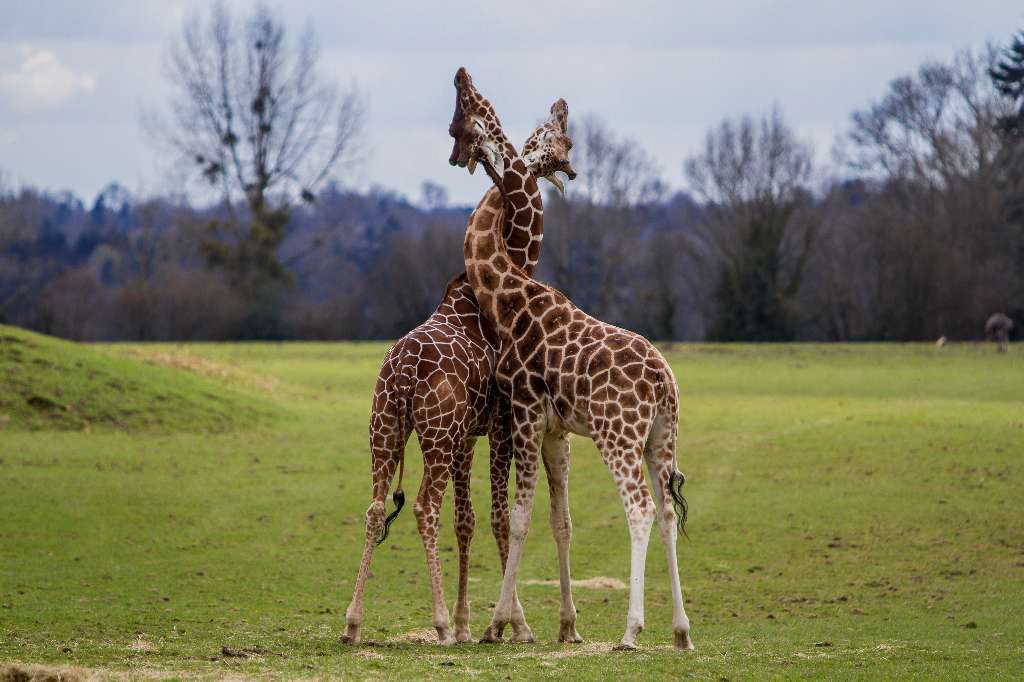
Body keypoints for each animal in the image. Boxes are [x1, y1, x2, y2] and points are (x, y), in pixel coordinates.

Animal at [342, 96, 577, 643]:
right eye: (562, 139)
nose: (569, 169)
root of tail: (405, 373)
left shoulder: (470, 432)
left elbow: (467, 519)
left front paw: (475, 623)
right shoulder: (502, 424)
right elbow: (498, 516)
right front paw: (512, 625)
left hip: (387, 426)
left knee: (375, 507)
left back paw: (354, 622)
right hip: (435, 434)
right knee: (424, 505)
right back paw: (440, 622)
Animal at [448, 67, 696, 647]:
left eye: (459, 119)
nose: (462, 74)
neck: (510, 297)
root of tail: (663, 381)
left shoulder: (524, 414)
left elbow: (518, 517)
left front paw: (499, 625)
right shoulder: (555, 428)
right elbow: (558, 520)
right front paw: (563, 626)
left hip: (617, 434)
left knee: (639, 509)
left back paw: (631, 631)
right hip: (660, 437)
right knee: (667, 513)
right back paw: (680, 631)